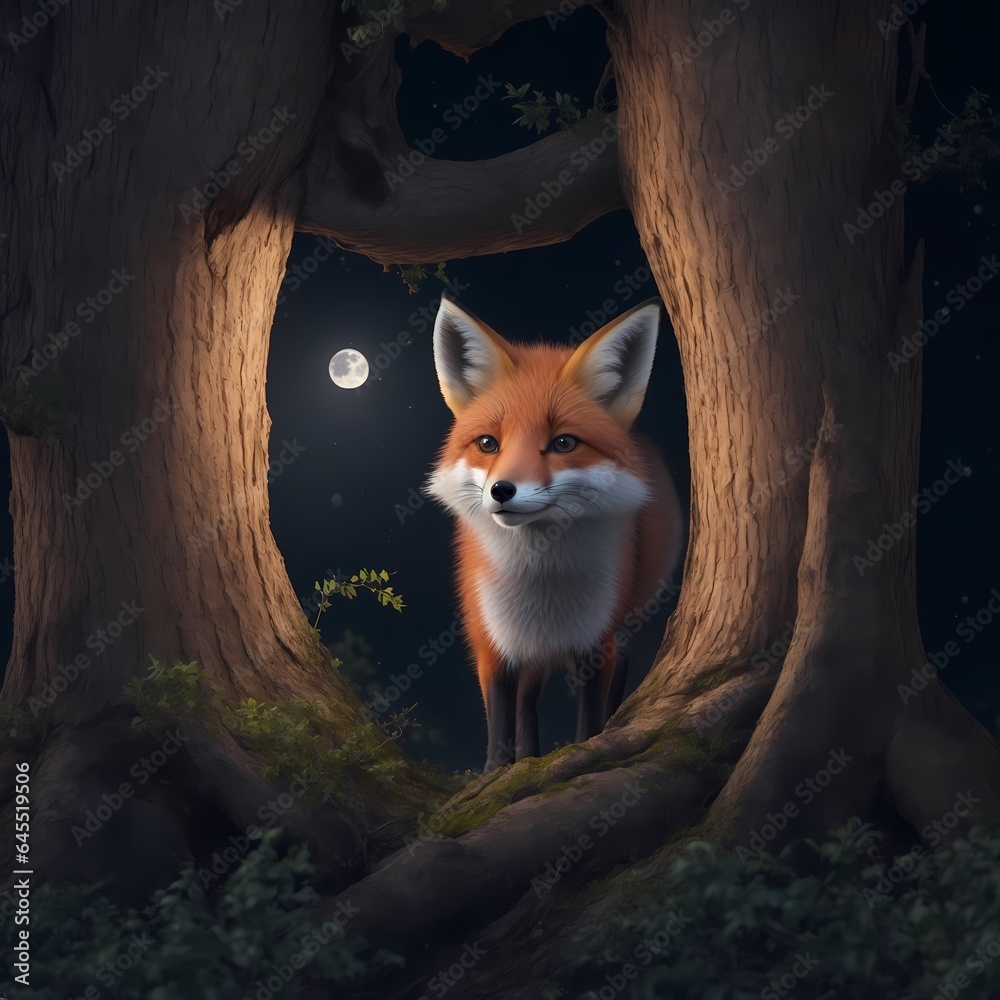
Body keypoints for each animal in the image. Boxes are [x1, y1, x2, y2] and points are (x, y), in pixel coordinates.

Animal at [426, 295, 684, 773]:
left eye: (564, 443)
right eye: (488, 444)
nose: (502, 490)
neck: (541, 584)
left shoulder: (598, 643)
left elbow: (589, 722)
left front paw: (584, 752)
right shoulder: (491, 643)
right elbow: (501, 722)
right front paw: (495, 775)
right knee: (527, 700)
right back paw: (528, 756)